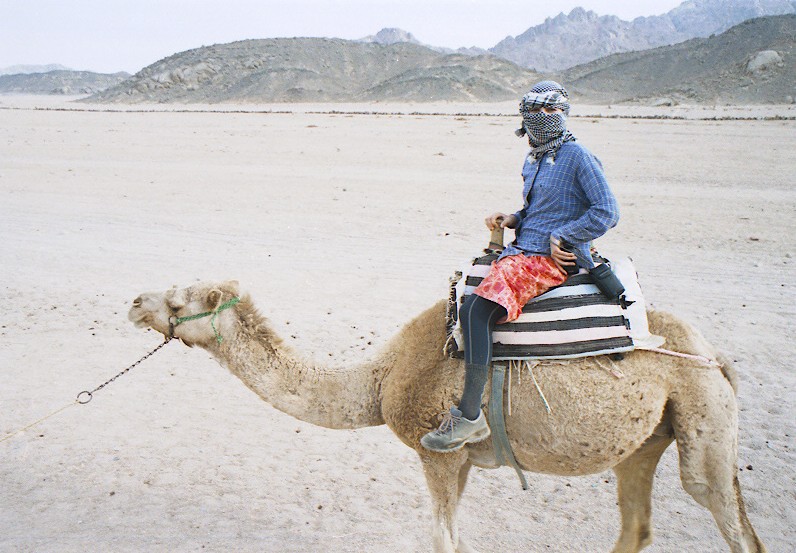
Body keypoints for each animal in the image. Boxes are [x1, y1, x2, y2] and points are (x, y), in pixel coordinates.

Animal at [128, 279, 767, 553]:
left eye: (179, 300)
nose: (134, 303)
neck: (381, 377)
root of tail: (717, 357)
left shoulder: (436, 450)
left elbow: (441, 539)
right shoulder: (459, 460)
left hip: (703, 417)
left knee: (730, 520)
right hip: (646, 440)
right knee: (636, 524)